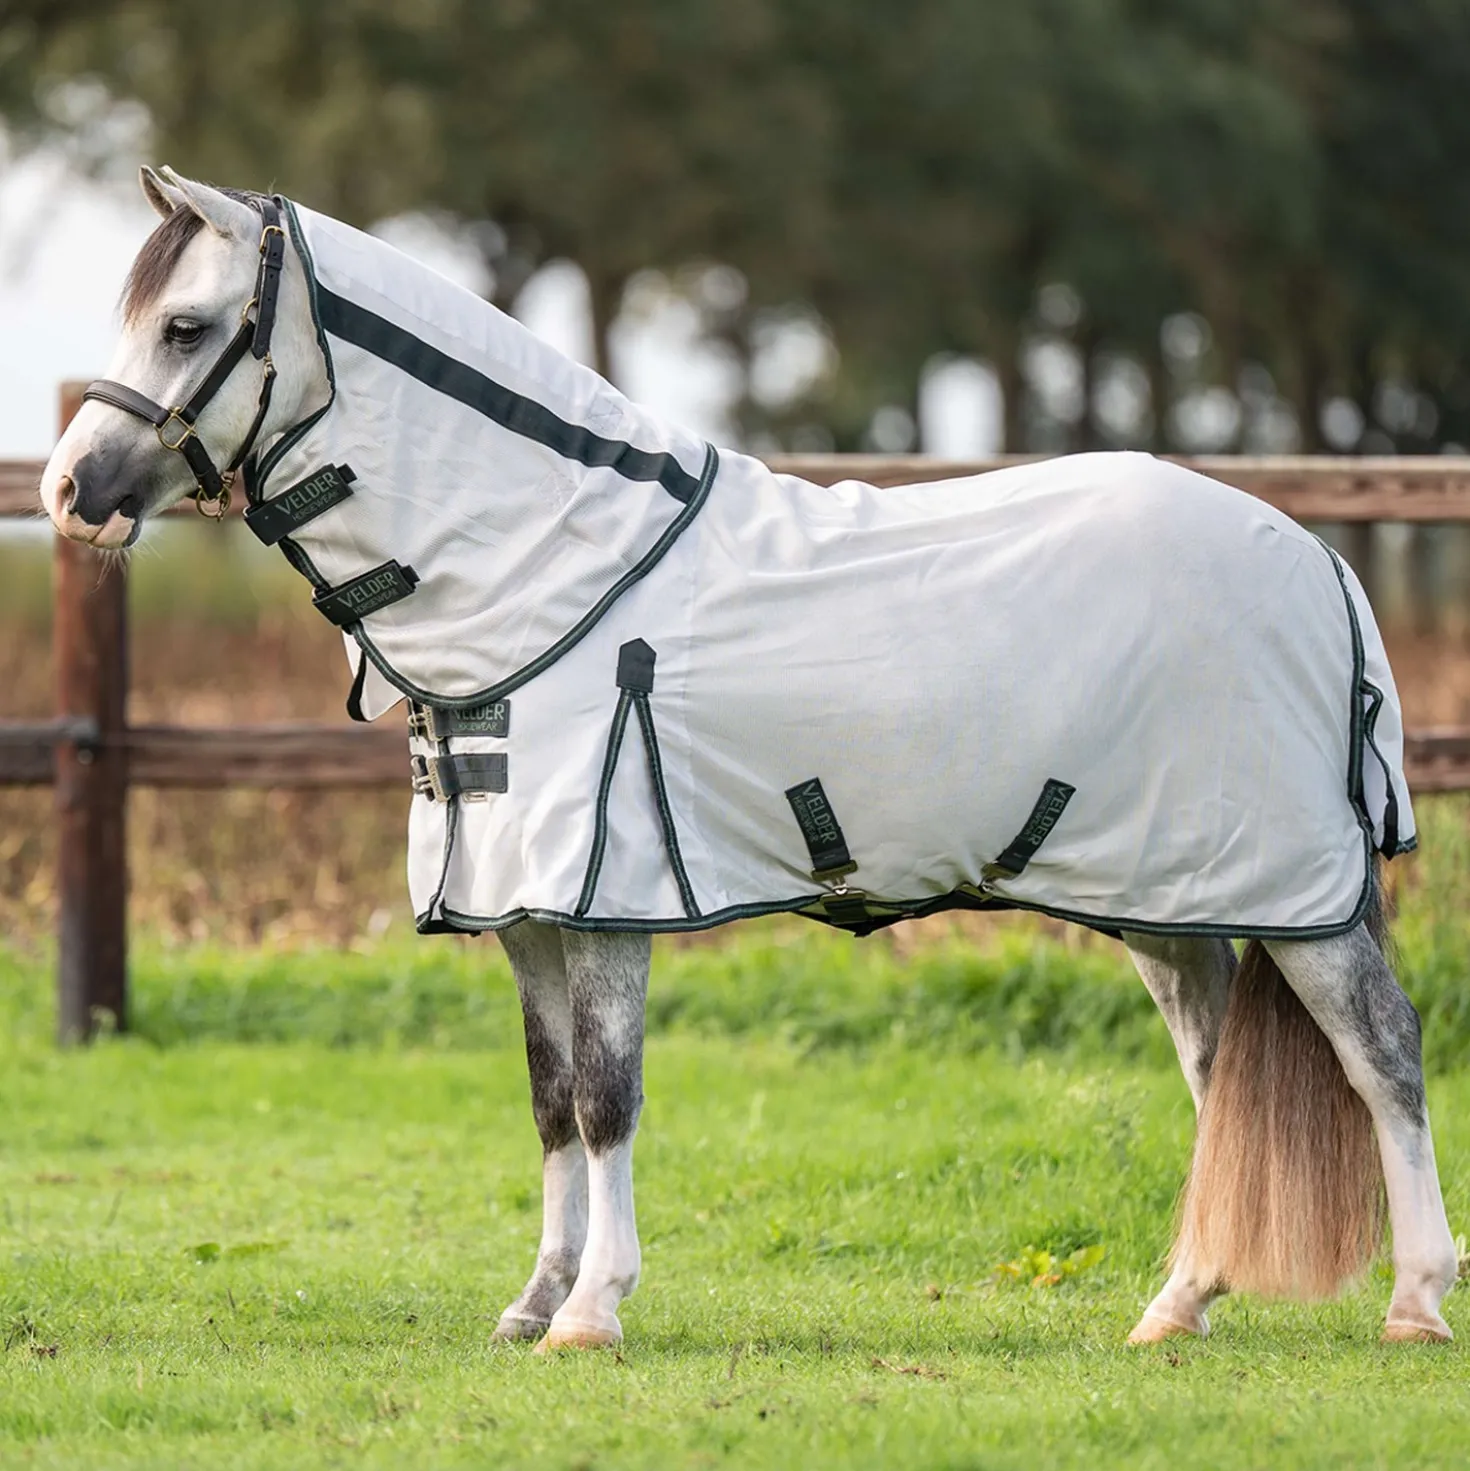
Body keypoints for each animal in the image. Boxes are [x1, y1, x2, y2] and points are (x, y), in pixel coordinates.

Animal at [39, 165, 1458, 1351]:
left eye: (185, 327)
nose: (66, 493)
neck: (555, 572)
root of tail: (1315, 556)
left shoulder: (605, 904)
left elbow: (607, 1100)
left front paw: (592, 1313)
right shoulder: (526, 910)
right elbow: (551, 1103)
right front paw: (533, 1300)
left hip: (1299, 894)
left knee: (1383, 1056)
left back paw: (1415, 1303)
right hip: (1173, 899)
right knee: (1221, 1081)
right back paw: (1178, 1306)